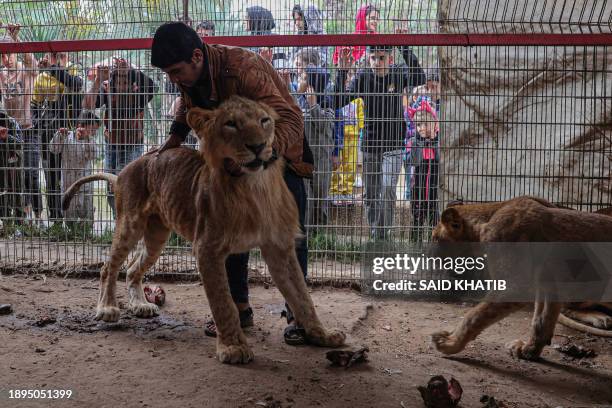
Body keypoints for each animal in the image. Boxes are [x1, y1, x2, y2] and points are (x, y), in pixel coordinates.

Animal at [64, 95, 346, 364]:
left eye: (264, 120)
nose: (257, 146)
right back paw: (107, 308)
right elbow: (224, 303)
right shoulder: (207, 248)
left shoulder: (279, 247)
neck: (254, 187)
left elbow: (303, 297)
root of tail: (126, 168)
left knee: (133, 268)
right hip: (130, 224)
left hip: (157, 235)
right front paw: (233, 347)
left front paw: (322, 335)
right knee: (108, 267)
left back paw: (141, 305)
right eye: (231, 124)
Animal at [430, 198, 612, 360]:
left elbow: (474, 316)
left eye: (435, 237)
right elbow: (541, 320)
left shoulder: (517, 285)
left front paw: (449, 343)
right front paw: (528, 350)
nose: (431, 257)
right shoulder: (547, 284)